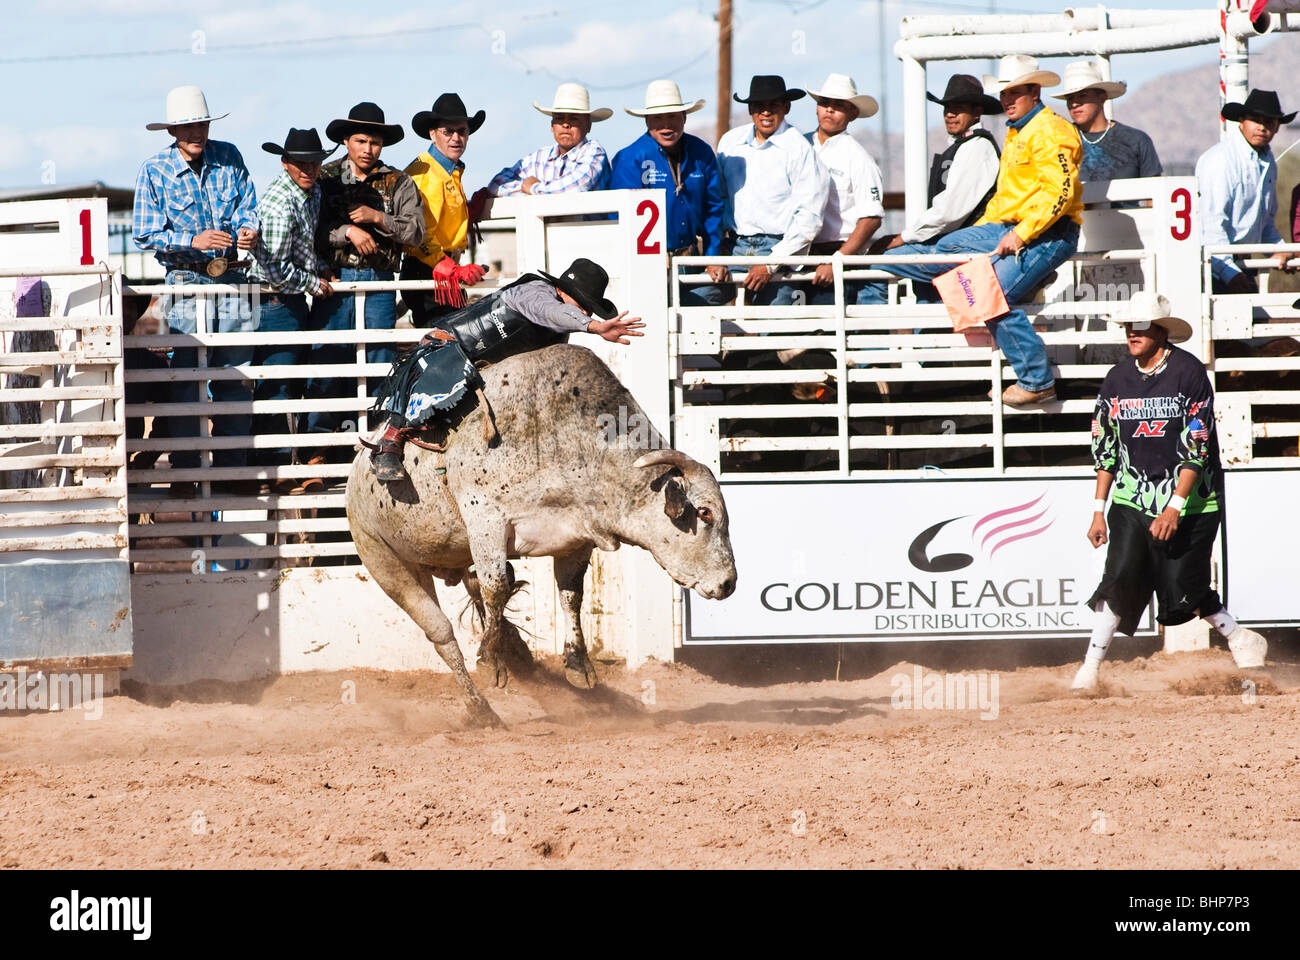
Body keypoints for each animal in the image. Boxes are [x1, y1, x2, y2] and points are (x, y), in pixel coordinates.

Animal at [345, 343, 737, 727]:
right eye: (705, 512)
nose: (729, 583)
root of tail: (357, 470)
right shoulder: (485, 520)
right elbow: (496, 587)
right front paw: (490, 660)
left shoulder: (576, 536)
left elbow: (570, 595)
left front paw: (578, 666)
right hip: (383, 559)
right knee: (441, 631)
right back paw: (481, 709)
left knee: (476, 593)